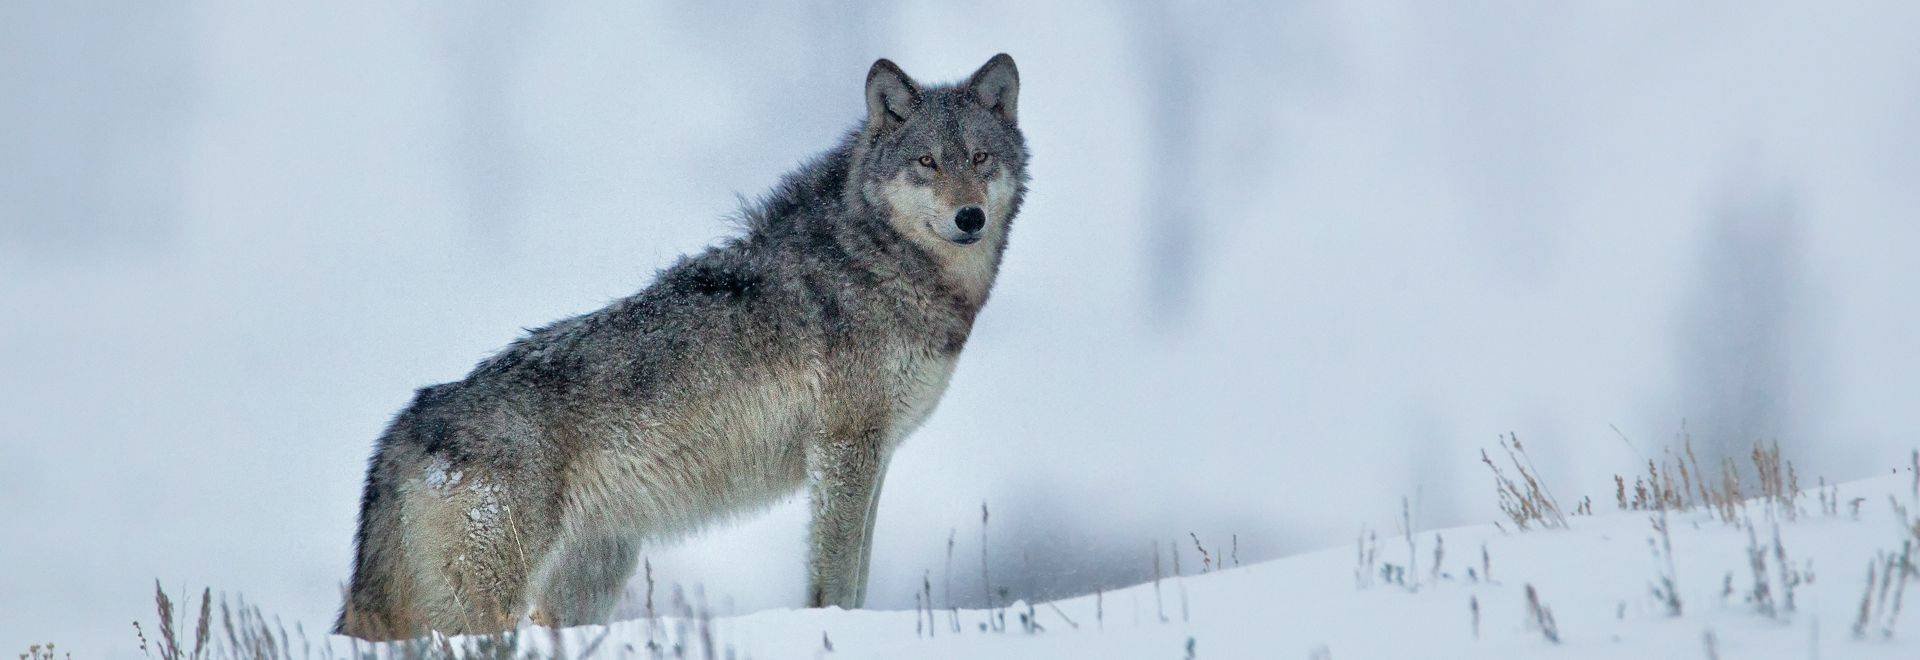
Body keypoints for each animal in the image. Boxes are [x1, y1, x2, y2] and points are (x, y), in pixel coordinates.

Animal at [341, 54, 1036, 640]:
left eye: (979, 158)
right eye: (927, 163)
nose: (970, 217)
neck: (880, 261)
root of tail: (403, 426)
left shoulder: (876, 454)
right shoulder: (845, 449)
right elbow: (837, 578)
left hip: (590, 575)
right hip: (480, 605)